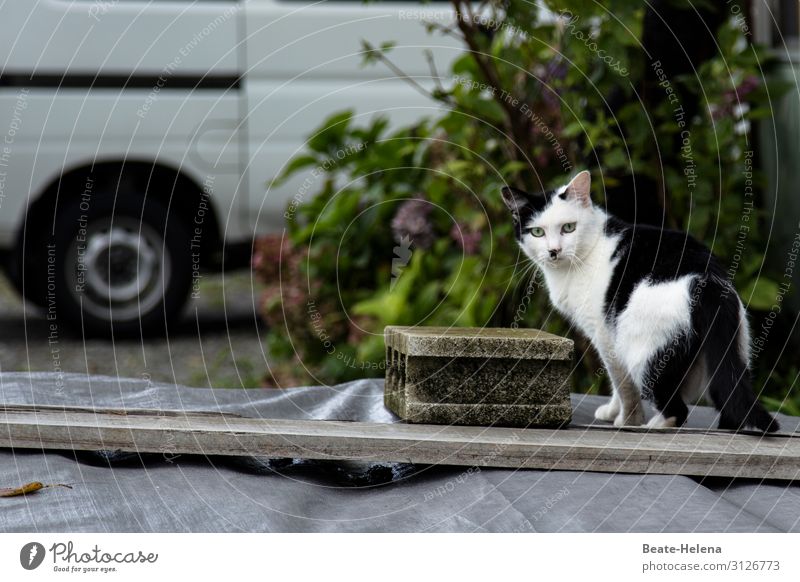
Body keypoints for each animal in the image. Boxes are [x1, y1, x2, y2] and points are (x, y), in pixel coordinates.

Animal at [504, 171, 780, 432]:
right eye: (537, 232)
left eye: (569, 227)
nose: (554, 251)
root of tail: (704, 279)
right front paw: (612, 411)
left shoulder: (605, 335)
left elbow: (622, 383)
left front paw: (627, 419)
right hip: (730, 349)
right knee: (728, 398)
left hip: (643, 350)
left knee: (677, 408)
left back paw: (654, 425)